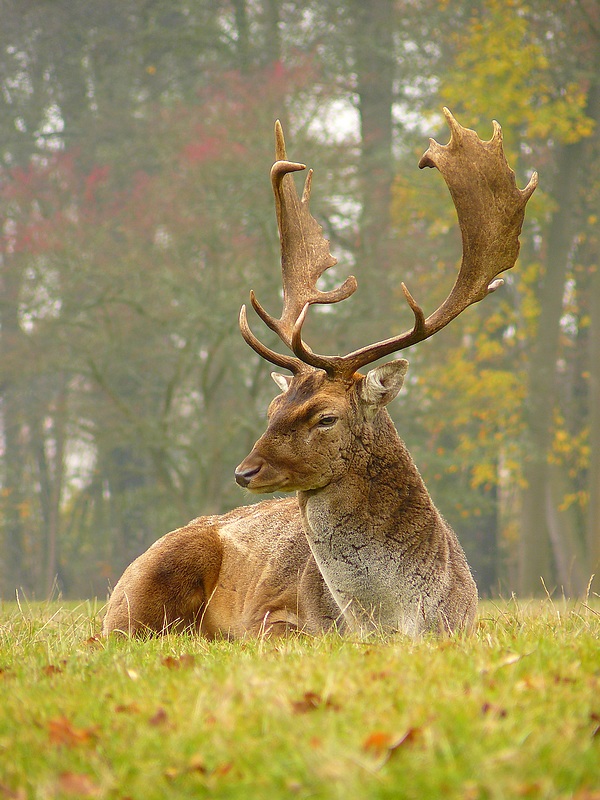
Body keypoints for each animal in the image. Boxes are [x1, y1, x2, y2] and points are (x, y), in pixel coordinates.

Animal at [103, 108, 537, 639]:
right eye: (273, 406)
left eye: (326, 417)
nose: (244, 471)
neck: (386, 620)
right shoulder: (275, 615)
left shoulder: (463, 624)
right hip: (144, 589)